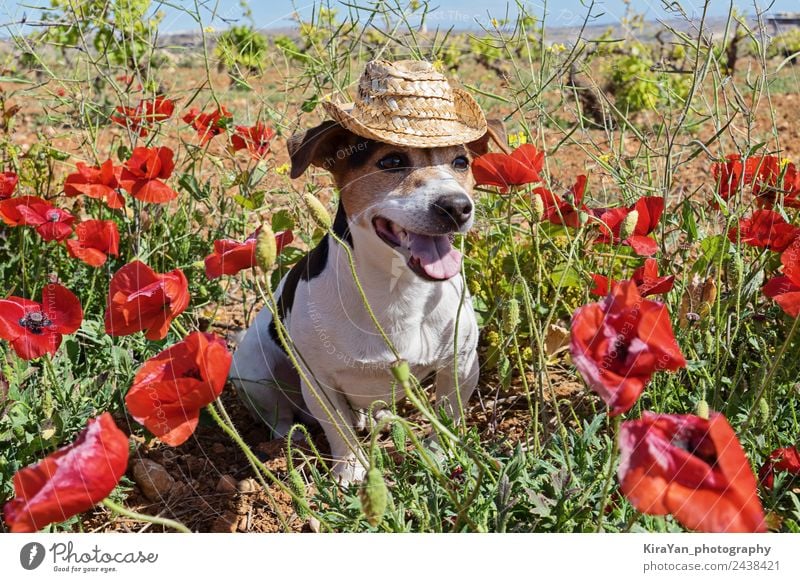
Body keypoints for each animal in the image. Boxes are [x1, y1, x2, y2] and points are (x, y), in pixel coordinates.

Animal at [231, 59, 504, 484]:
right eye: (391, 161)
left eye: (461, 162)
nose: (457, 207)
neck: (397, 289)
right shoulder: (319, 381)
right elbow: (337, 428)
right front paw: (350, 470)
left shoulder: (460, 365)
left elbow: (448, 416)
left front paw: (442, 455)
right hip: (252, 368)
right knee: (281, 416)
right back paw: (290, 442)